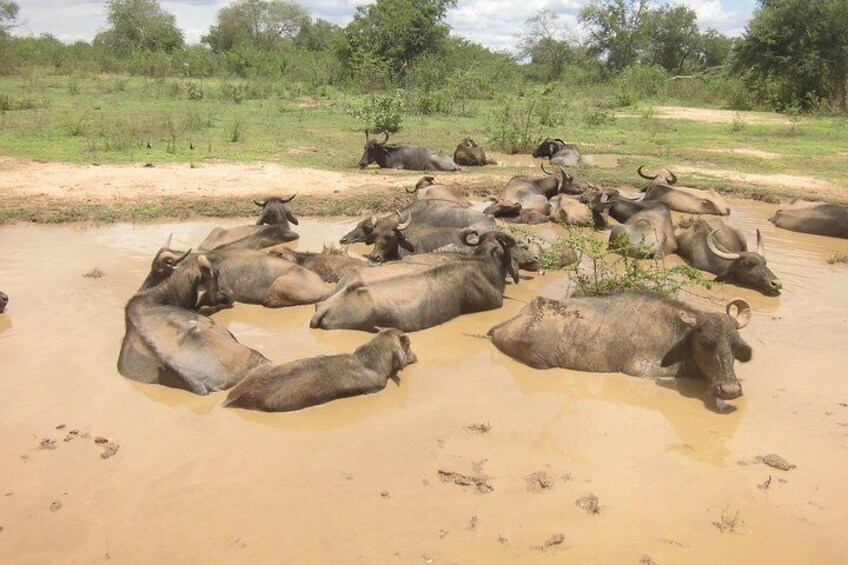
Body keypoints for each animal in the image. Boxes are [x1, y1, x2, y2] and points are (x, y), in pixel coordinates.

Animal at [486, 290, 752, 410]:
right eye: (705, 342)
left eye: (734, 345)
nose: (729, 389)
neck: (675, 333)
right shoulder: (643, 371)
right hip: (540, 361)